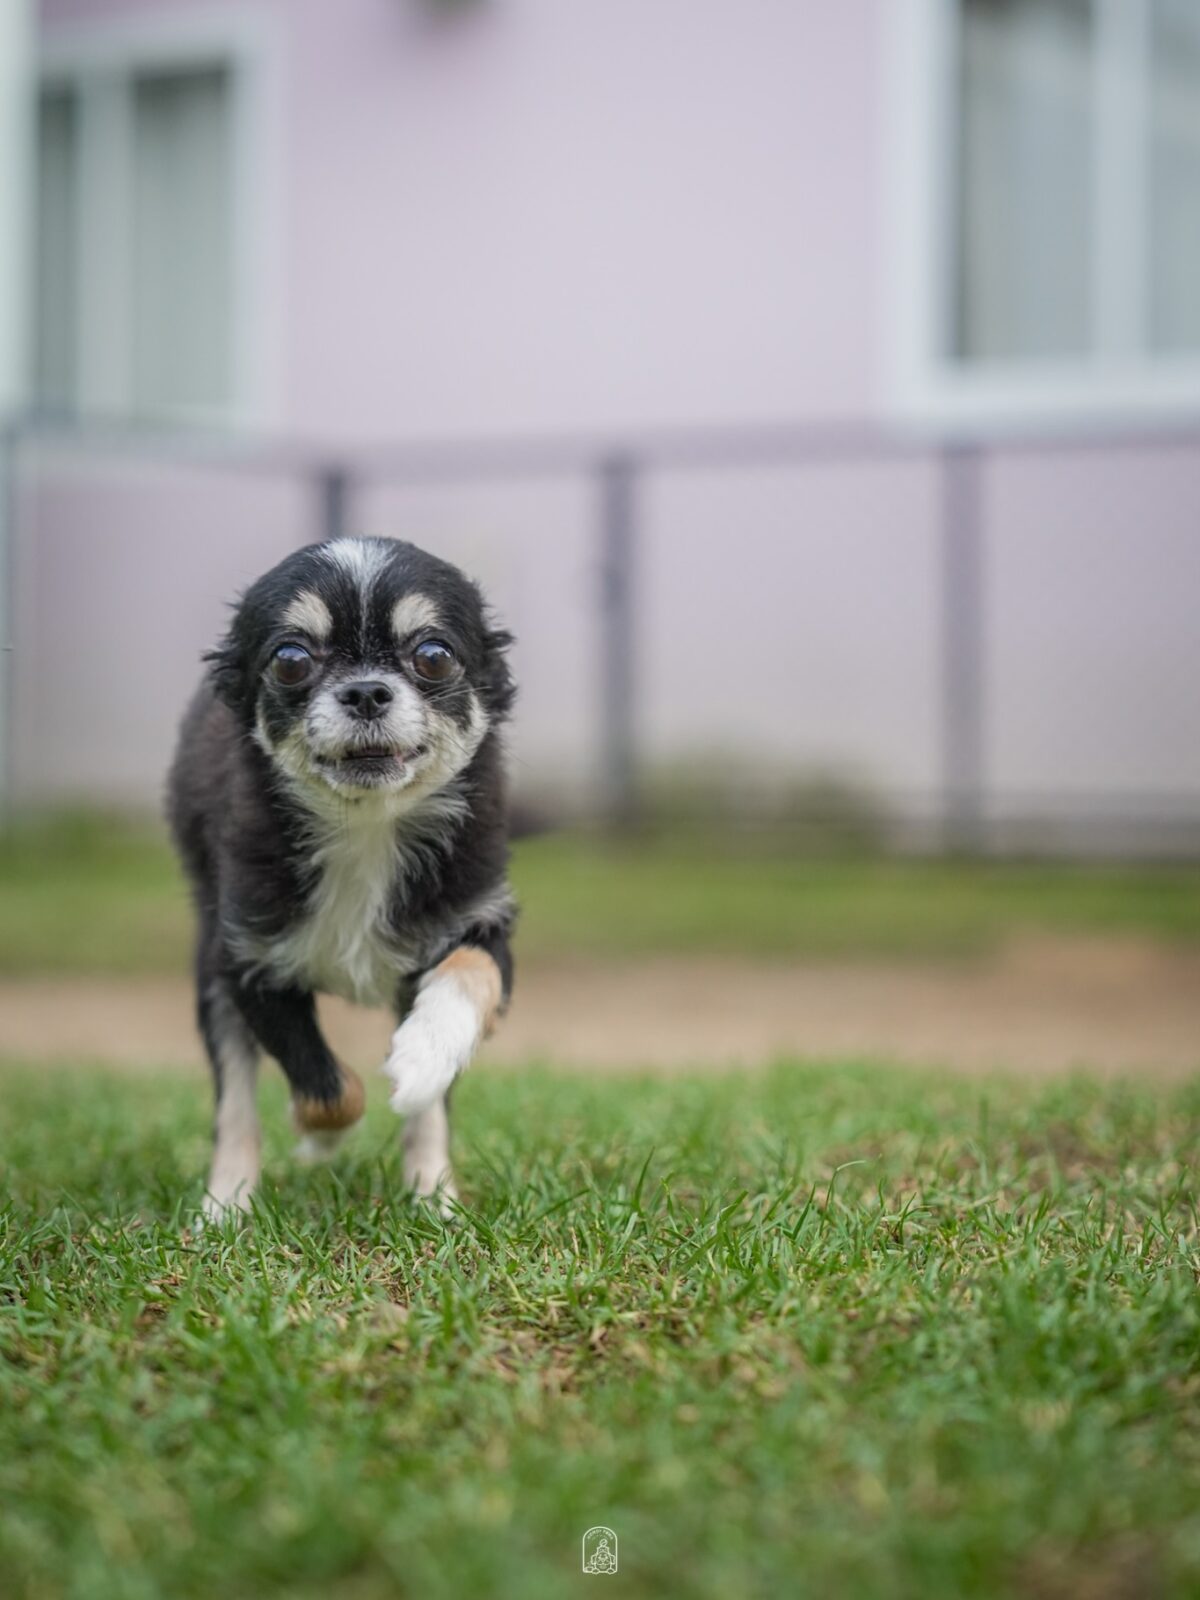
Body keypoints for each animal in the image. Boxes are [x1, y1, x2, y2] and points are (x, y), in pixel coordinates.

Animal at [168, 537, 516, 1220]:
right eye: (291, 661)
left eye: (433, 656)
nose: (366, 692)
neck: (366, 830)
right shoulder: (246, 961)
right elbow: (328, 1088)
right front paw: (319, 1137)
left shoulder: (482, 922)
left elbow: (469, 977)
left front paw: (423, 1056)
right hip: (210, 972)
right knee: (236, 1104)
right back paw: (227, 1205)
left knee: (428, 1116)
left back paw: (434, 1197)